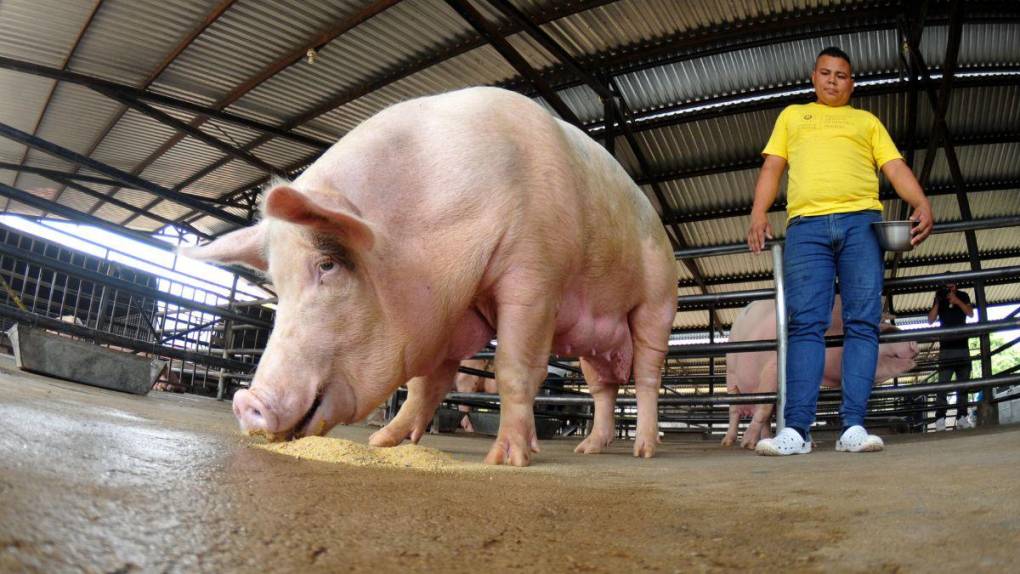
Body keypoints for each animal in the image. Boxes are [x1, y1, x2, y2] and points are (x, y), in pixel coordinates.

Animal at [181, 86, 677, 466]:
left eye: (327, 265)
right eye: (278, 288)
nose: (245, 403)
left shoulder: (534, 272)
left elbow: (514, 367)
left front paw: (506, 460)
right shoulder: (445, 313)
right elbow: (424, 383)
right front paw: (383, 443)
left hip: (658, 300)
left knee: (647, 375)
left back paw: (643, 450)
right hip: (598, 341)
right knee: (603, 387)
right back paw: (588, 449)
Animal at [722, 299, 922, 450]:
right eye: (885, 329)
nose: (915, 343)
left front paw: (812, 444)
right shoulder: (772, 368)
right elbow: (763, 409)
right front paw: (746, 443)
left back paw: (762, 440)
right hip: (731, 375)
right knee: (735, 411)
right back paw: (730, 442)